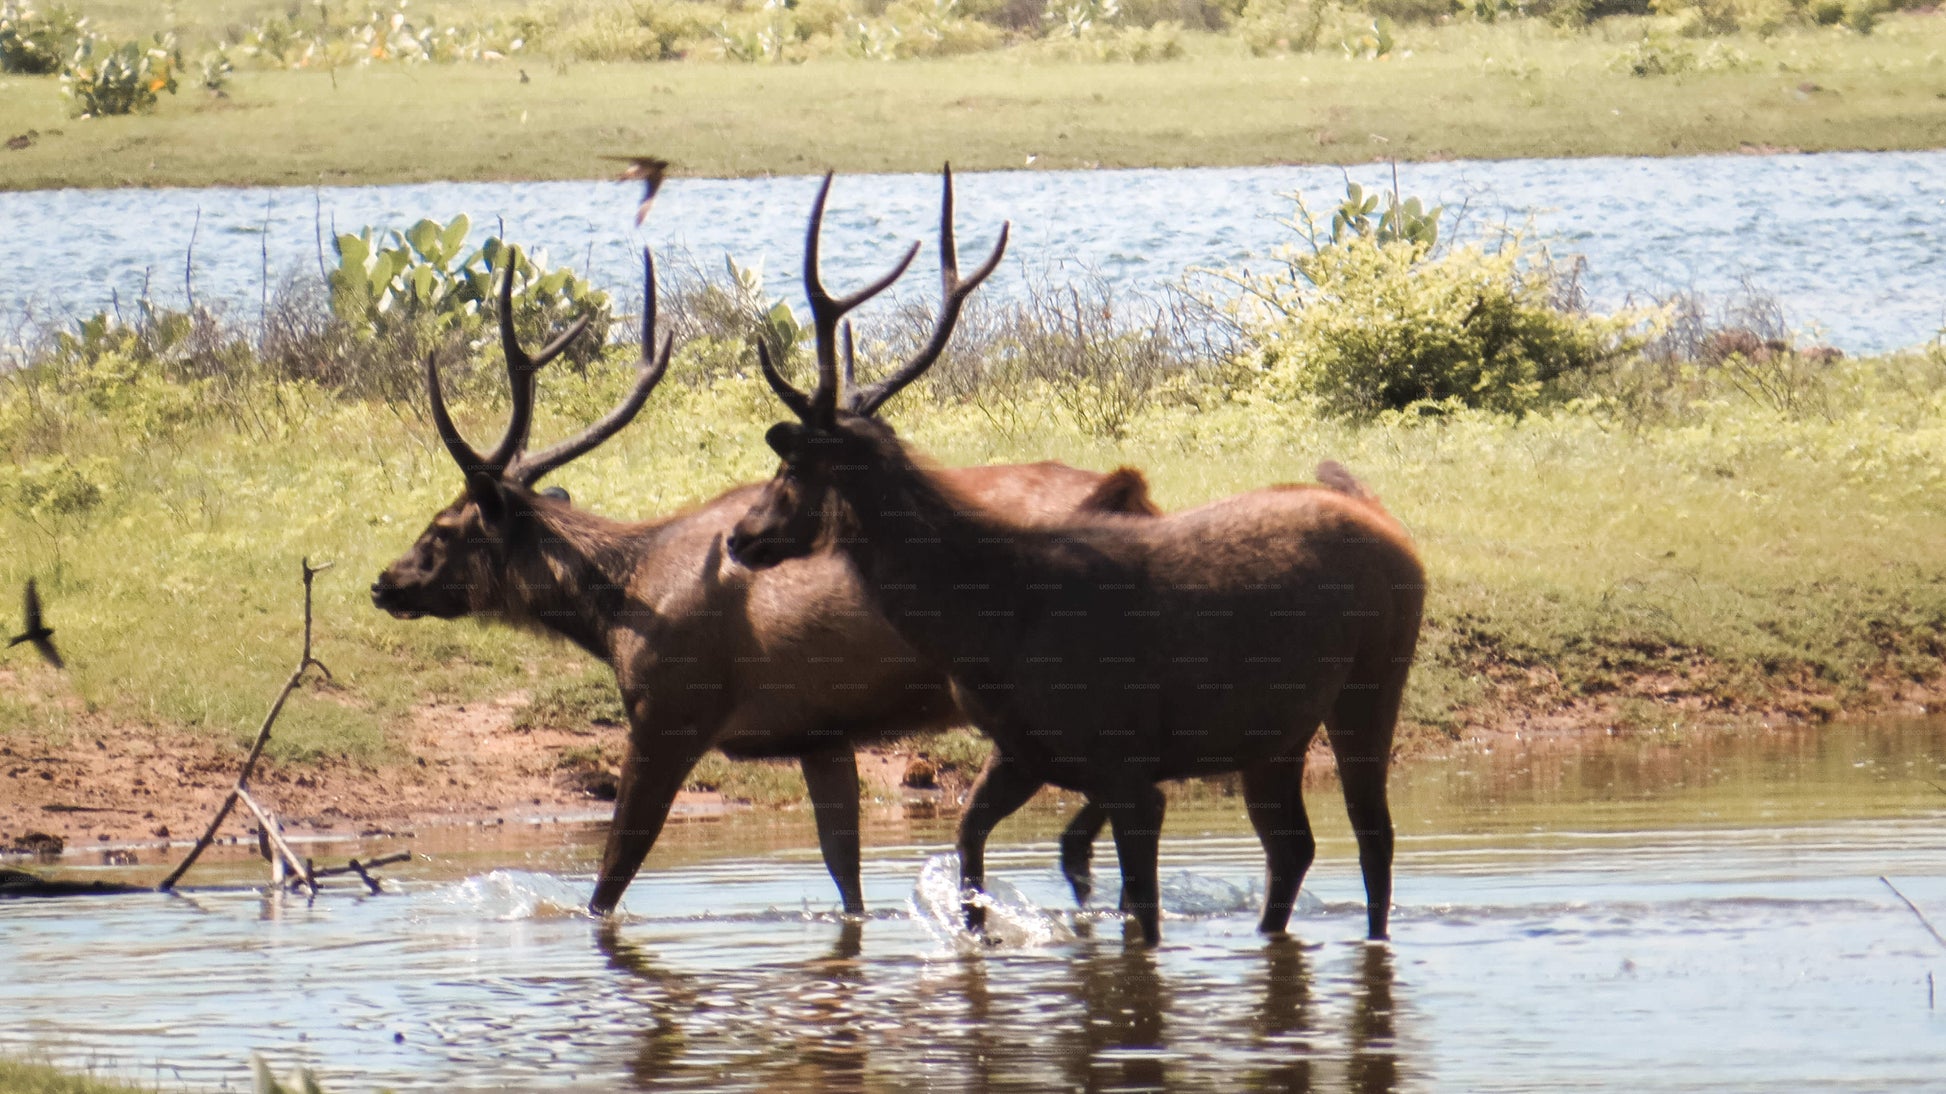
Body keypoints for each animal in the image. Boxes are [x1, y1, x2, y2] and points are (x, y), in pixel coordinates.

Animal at [370, 241, 1159, 918]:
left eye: (444, 527)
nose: (385, 582)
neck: (622, 608)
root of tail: (1131, 494)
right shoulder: (820, 732)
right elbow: (846, 881)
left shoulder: (670, 712)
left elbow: (612, 878)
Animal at [726, 168, 1426, 945]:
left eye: (789, 469)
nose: (740, 536)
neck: (988, 627)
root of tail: (1390, 524)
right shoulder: (1024, 750)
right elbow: (969, 843)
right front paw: (979, 934)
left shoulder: (1124, 761)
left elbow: (1141, 915)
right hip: (1275, 733)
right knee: (1294, 847)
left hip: (1374, 676)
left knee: (1372, 838)